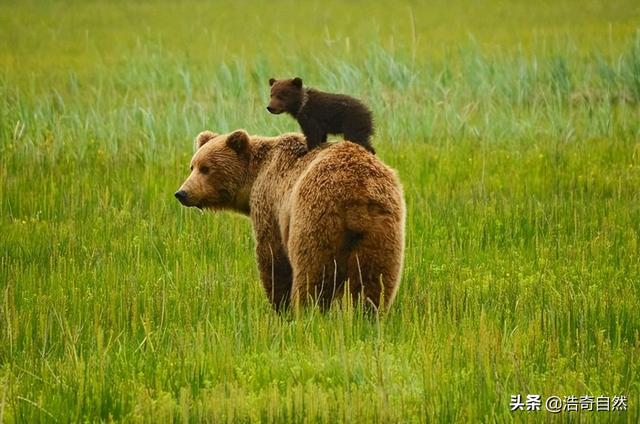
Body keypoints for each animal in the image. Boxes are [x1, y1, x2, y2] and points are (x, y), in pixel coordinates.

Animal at [175, 129, 404, 312]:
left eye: (206, 168)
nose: (182, 193)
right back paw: (367, 315)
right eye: (192, 166)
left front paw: (279, 306)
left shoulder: (270, 202)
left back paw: (307, 312)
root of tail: (357, 193)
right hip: (382, 227)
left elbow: (272, 257)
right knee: (375, 278)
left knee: (313, 272)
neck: (254, 177)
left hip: (315, 218)